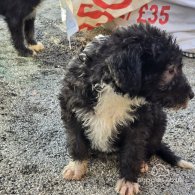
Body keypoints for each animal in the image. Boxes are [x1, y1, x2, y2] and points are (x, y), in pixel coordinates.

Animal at [59, 24, 195, 195]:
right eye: (170, 70)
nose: (192, 95)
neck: (113, 91)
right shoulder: (71, 109)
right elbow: (76, 141)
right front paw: (77, 166)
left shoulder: (138, 124)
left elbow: (132, 152)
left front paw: (128, 181)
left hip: (159, 122)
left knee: (150, 148)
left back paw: (142, 163)